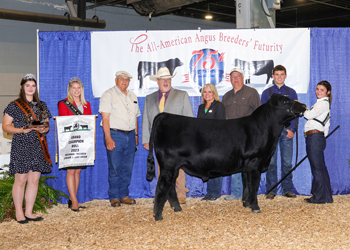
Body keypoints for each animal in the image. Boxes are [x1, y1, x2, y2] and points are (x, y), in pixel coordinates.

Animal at [146, 94, 304, 221]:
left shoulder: (247, 167)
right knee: (162, 186)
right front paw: (255, 207)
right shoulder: (255, 164)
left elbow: (247, 185)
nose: (303, 105)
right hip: (169, 164)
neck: (264, 129)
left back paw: (177, 208)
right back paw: (158, 216)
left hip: (172, 167)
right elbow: (254, 186)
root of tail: (165, 115)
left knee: (170, 187)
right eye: (285, 101)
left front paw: (246, 204)